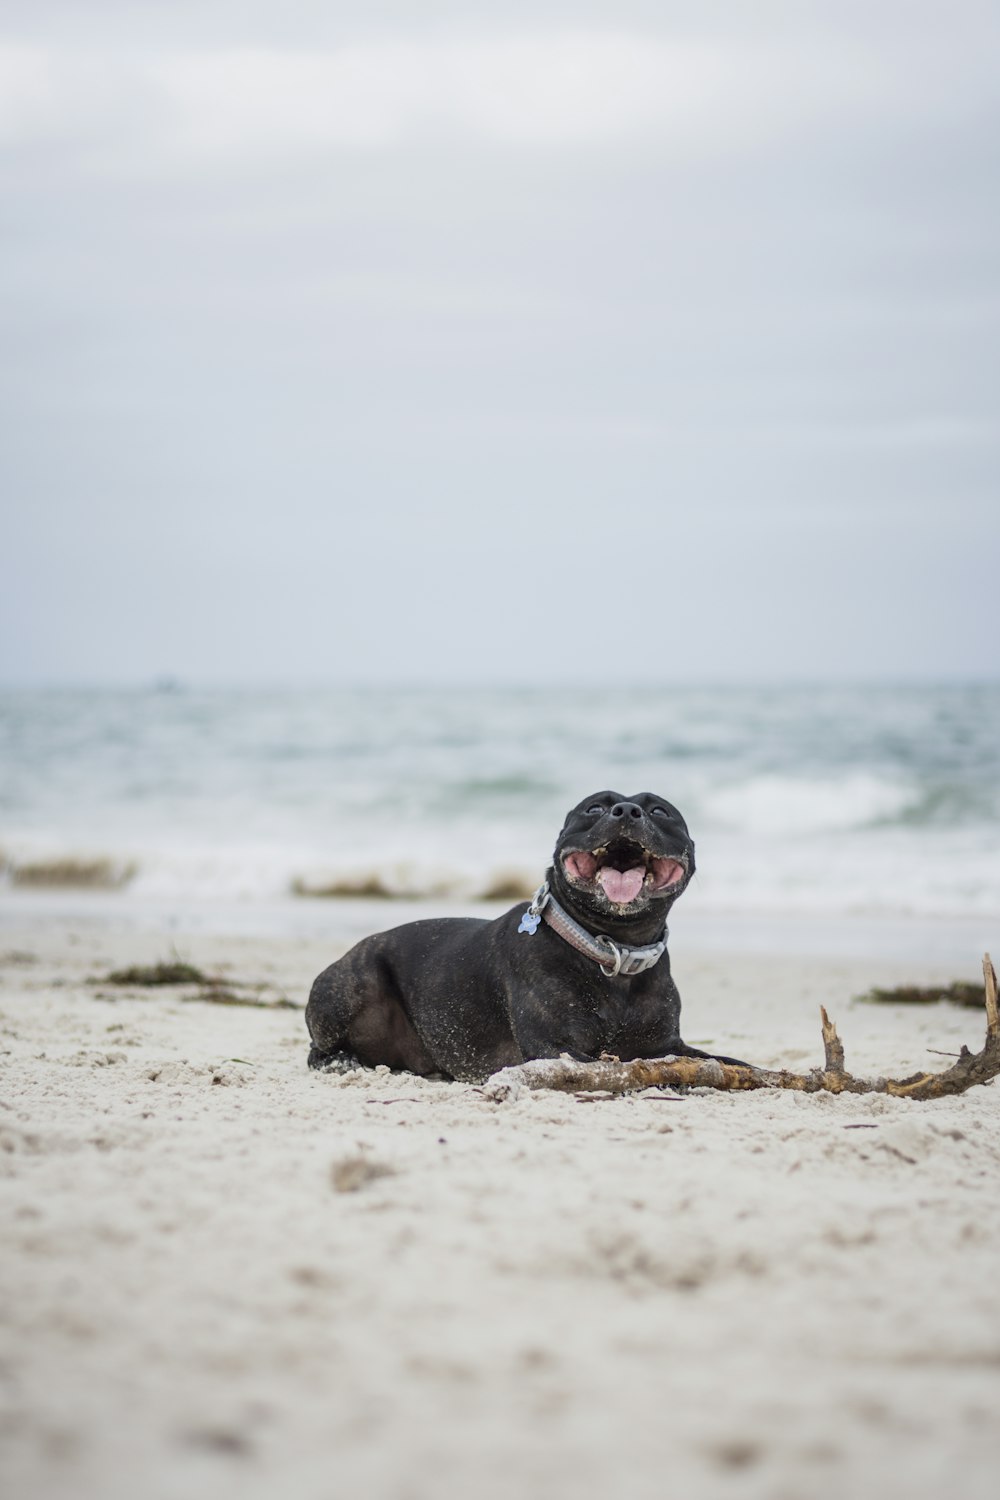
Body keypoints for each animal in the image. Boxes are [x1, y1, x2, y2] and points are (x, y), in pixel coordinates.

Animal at [305, 792, 743, 1086]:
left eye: (659, 812)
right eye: (594, 809)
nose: (626, 811)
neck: (614, 949)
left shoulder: (669, 1044)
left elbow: (727, 1061)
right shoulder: (555, 1046)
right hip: (353, 983)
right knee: (316, 1049)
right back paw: (342, 1062)